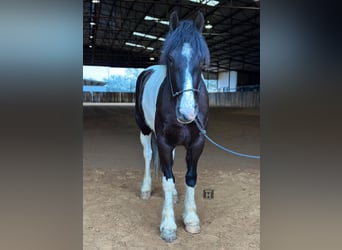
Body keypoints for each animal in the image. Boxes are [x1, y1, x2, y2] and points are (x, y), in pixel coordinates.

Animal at [135, 11, 210, 242]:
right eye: (170, 58)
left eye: (202, 61)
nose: (187, 113)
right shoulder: (164, 142)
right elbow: (167, 180)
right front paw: (168, 226)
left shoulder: (197, 143)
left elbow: (190, 178)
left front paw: (191, 219)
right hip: (144, 130)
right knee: (148, 155)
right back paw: (145, 189)